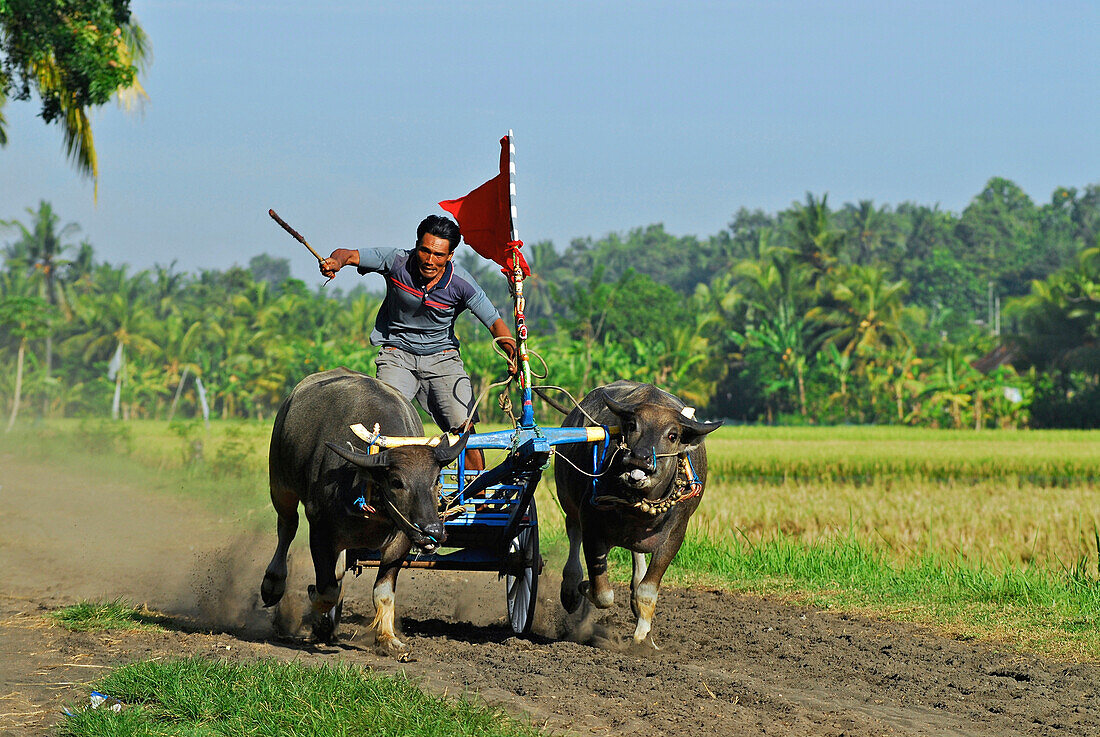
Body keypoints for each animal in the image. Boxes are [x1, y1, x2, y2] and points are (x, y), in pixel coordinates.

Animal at [259, 367, 466, 651]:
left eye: (436, 479)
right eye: (396, 481)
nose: (433, 531)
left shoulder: (402, 538)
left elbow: (382, 594)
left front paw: (389, 639)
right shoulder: (320, 529)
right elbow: (326, 590)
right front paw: (317, 613)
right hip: (280, 483)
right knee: (287, 527)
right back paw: (273, 584)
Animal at [558, 385, 721, 642]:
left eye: (672, 435)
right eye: (633, 425)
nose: (640, 458)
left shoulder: (675, 535)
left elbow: (647, 590)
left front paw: (642, 636)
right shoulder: (590, 521)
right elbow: (603, 593)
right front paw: (584, 587)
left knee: (636, 556)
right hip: (568, 501)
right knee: (573, 534)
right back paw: (571, 589)